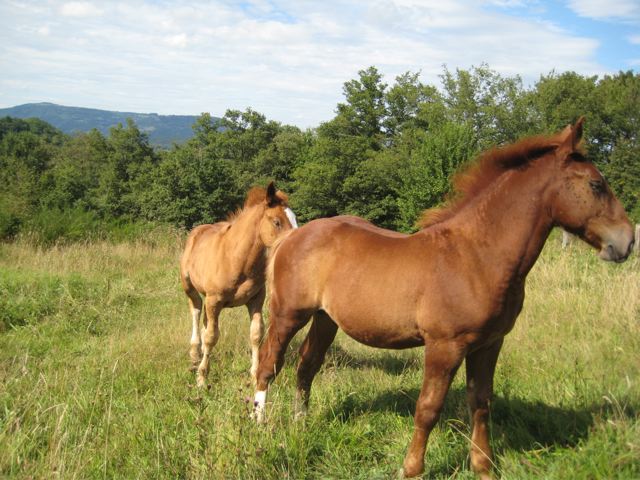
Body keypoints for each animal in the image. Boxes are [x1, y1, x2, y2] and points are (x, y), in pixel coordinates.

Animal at [180, 182, 298, 388]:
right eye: (277, 222)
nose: (293, 245)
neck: (236, 259)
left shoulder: (256, 300)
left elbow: (256, 334)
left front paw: (254, 375)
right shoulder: (214, 300)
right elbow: (211, 337)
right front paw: (202, 378)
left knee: (205, 321)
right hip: (190, 288)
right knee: (196, 310)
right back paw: (195, 355)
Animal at [254, 120, 636, 476]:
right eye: (596, 185)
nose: (627, 241)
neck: (477, 255)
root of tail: (290, 237)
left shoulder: (489, 344)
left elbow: (480, 403)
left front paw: (483, 467)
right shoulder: (444, 346)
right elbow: (428, 408)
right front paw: (411, 469)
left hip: (325, 318)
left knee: (307, 365)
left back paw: (301, 423)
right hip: (288, 314)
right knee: (269, 362)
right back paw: (259, 424)